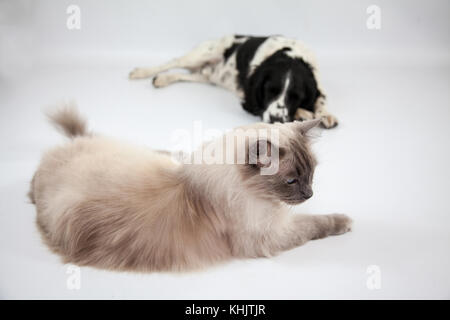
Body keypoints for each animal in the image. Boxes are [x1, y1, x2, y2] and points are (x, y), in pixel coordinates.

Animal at [130, 33, 338, 126]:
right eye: (269, 90)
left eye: (296, 97)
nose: (275, 120)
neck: (289, 54)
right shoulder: (249, 97)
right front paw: (305, 113)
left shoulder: (316, 83)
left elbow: (321, 98)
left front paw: (324, 113)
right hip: (203, 54)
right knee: (173, 62)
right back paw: (142, 72)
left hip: (206, 76)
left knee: (184, 74)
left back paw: (163, 79)